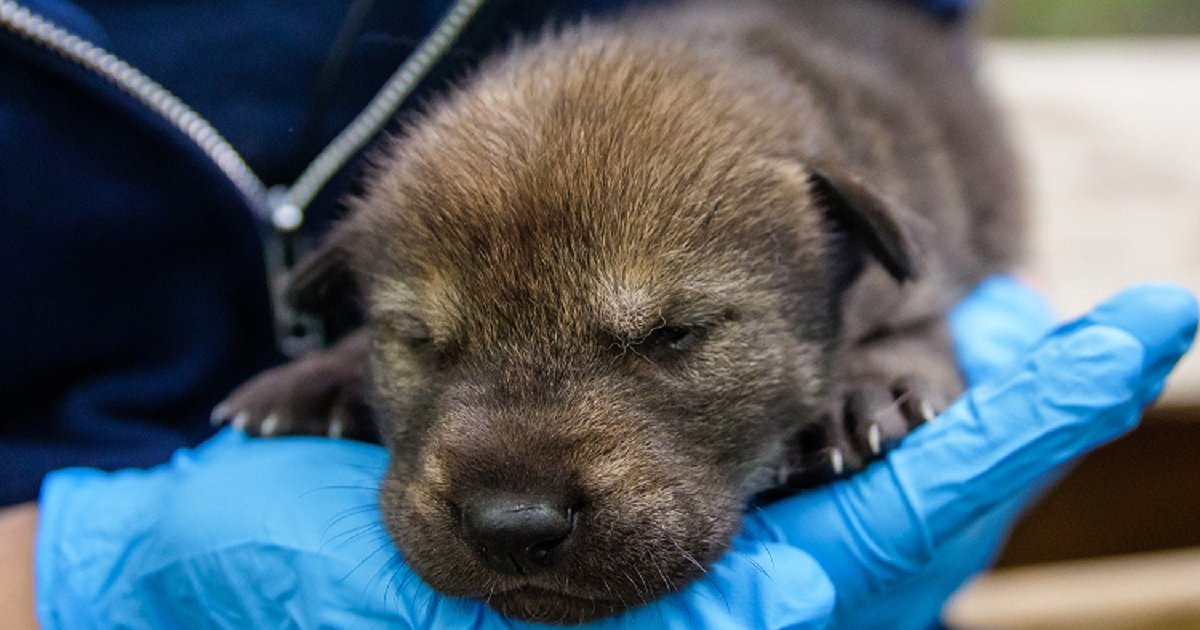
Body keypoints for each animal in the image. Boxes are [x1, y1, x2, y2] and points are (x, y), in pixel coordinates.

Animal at [218, 0, 1022, 619]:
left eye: (674, 334)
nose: (513, 528)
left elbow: (914, 323)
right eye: (419, 339)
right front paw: (314, 379)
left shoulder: (930, 257)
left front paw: (863, 394)